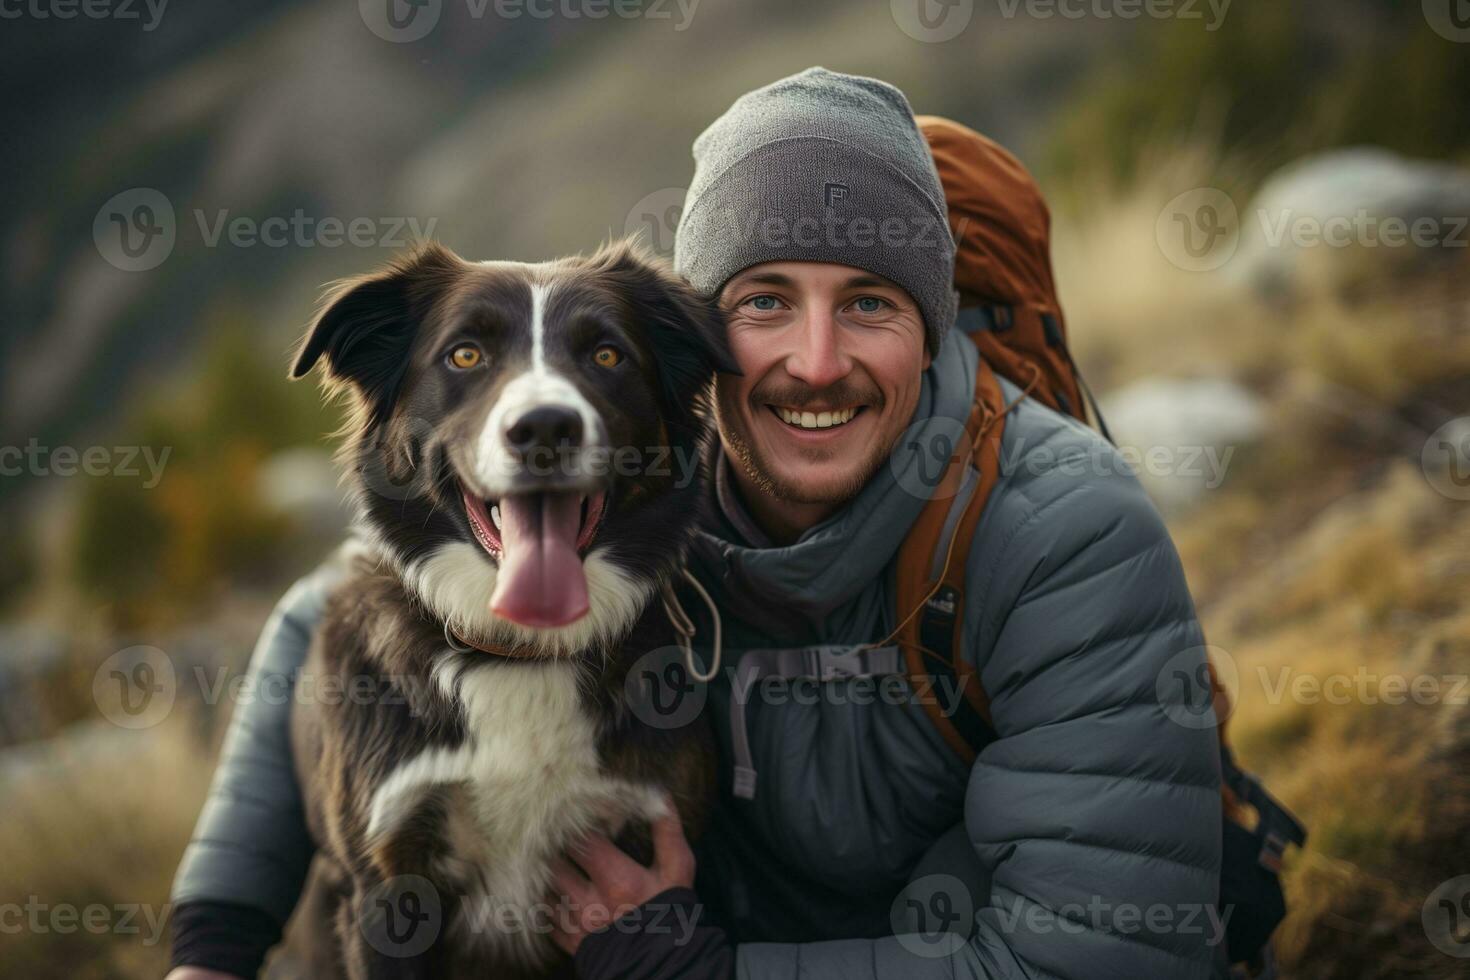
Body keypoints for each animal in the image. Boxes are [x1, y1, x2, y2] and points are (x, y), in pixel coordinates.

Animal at [285, 239, 729, 980]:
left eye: (607, 355)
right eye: (466, 355)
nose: (545, 427)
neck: (517, 653)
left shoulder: (648, 837)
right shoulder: (386, 888)